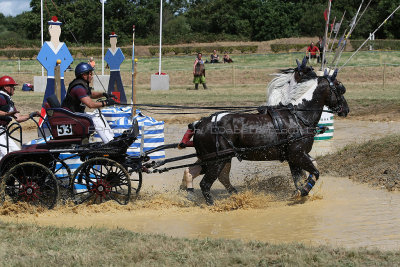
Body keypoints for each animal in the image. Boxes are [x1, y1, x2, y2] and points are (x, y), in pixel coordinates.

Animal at [192, 66, 348, 206]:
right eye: (340, 89)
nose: (346, 109)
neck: (298, 116)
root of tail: (200, 124)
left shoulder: (294, 158)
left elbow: (300, 178)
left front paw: (300, 193)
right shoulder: (297, 154)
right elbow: (315, 172)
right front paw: (303, 192)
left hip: (224, 159)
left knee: (222, 179)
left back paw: (237, 197)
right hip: (216, 161)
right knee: (205, 184)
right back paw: (213, 205)